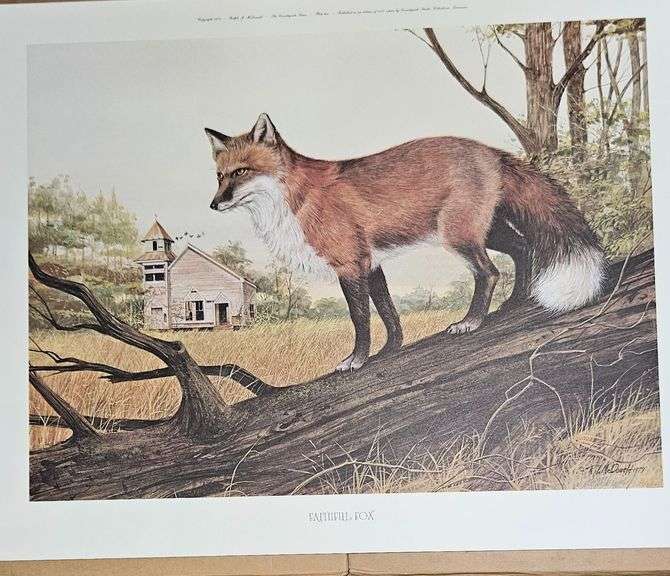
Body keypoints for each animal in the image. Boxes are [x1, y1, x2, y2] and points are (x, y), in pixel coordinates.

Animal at [205, 113, 606, 372]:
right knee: (522, 249)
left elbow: (361, 319)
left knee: (489, 273)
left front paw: (357, 360)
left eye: (241, 172)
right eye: (220, 176)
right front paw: (390, 350)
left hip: (458, 236)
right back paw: (516, 301)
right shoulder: (371, 263)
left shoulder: (350, 264)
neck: (296, 201)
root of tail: (489, 151)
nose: (214, 204)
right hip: (485, 231)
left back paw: (472, 320)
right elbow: (389, 312)